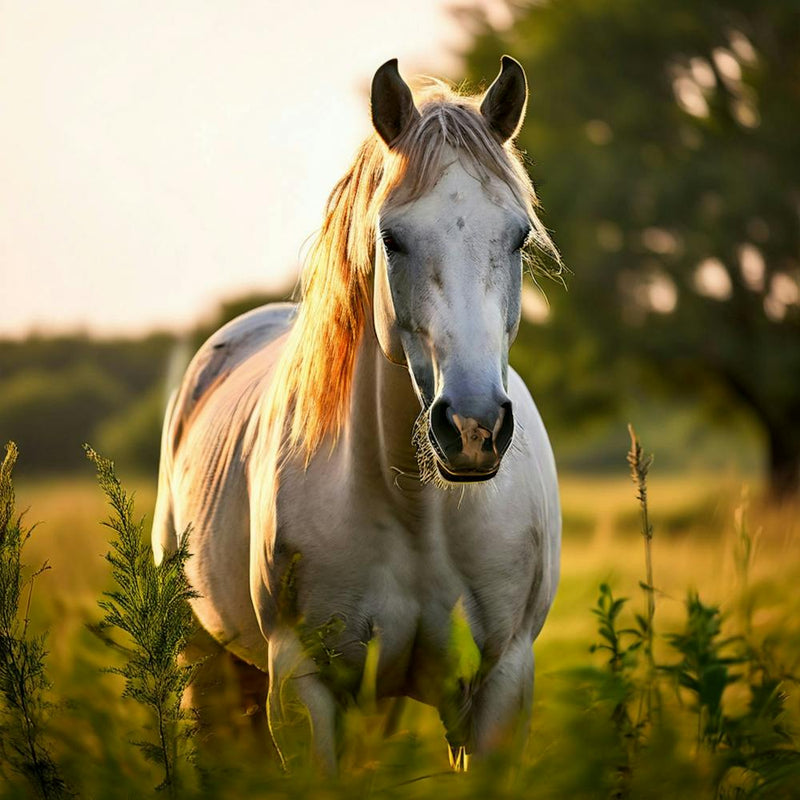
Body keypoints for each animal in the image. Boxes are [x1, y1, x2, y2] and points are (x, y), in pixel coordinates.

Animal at [152, 55, 562, 774]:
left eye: (518, 237)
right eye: (391, 238)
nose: (474, 429)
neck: (419, 514)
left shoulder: (500, 687)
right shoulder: (303, 688)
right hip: (203, 662)